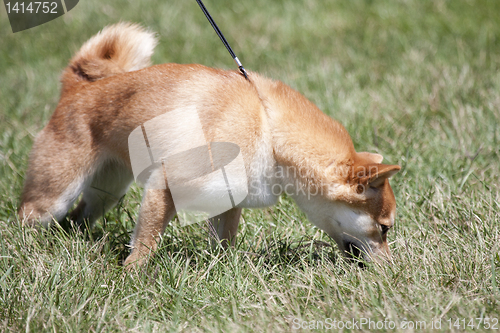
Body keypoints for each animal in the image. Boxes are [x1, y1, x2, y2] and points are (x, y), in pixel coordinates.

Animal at [18, 22, 402, 268]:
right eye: (384, 228)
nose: (391, 269)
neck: (269, 129)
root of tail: (77, 88)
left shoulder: (230, 198)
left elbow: (224, 241)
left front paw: (224, 271)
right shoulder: (165, 184)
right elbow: (147, 243)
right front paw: (131, 277)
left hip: (107, 191)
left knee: (78, 219)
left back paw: (76, 241)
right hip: (54, 195)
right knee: (31, 218)